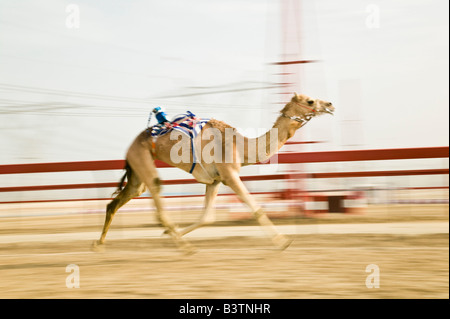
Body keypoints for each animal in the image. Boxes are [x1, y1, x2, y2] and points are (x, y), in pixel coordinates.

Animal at [91, 93, 334, 255]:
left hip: (136, 172)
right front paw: (283, 242)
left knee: (116, 202)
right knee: (156, 194)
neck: (242, 146)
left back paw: (99, 243)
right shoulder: (229, 174)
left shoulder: (215, 181)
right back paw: (186, 247)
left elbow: (207, 217)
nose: (330, 104)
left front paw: (169, 236)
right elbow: (255, 208)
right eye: (310, 101)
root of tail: (130, 146)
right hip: (142, 159)